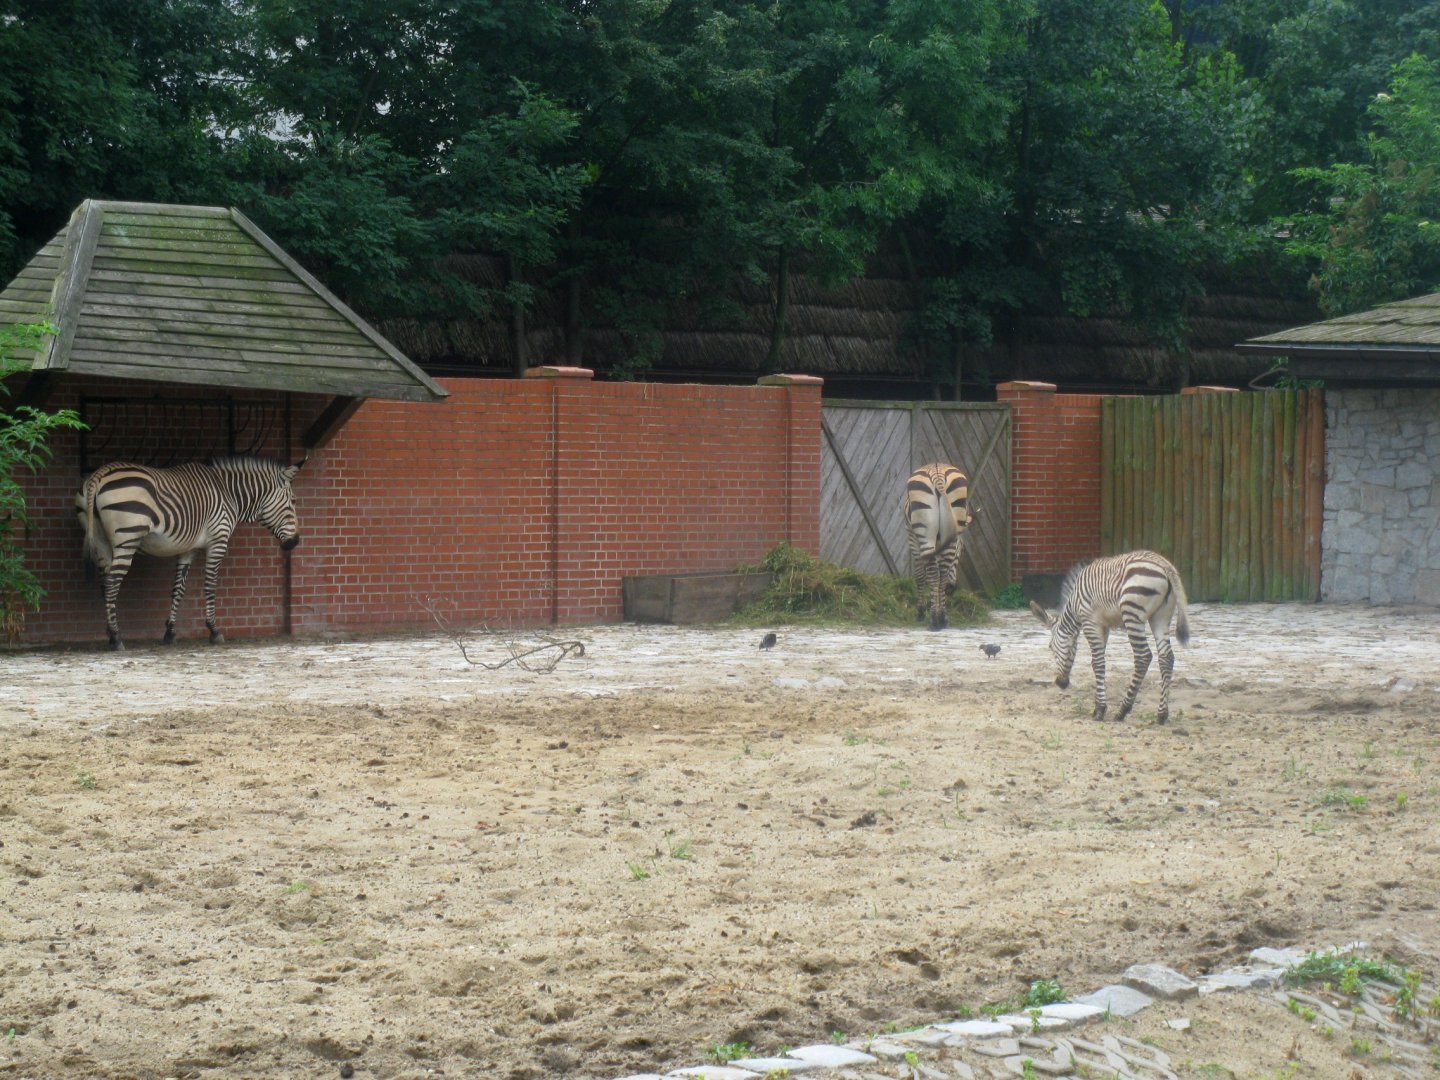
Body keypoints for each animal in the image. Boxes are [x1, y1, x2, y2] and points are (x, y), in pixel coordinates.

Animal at [75, 456, 302, 650]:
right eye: (292, 501)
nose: (295, 542)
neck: (228, 493)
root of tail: (99, 474)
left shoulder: (188, 549)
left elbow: (178, 589)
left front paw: (170, 633)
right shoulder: (218, 542)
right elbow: (210, 586)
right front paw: (214, 631)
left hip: (102, 542)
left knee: (105, 582)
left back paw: (110, 632)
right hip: (128, 537)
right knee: (112, 582)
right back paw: (116, 638)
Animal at [902, 462, 972, 631]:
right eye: (961, 552)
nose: (953, 590)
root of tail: (937, 472)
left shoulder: (912, 539)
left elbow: (920, 576)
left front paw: (920, 612)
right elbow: (941, 575)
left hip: (924, 534)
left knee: (933, 574)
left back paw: (934, 619)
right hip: (952, 531)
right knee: (943, 574)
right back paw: (942, 618)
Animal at [1028, 550, 1190, 724]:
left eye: (1050, 647)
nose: (1061, 683)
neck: (1075, 604)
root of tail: (1165, 565)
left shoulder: (1090, 623)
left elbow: (1098, 663)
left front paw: (1100, 710)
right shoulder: (1103, 627)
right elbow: (1095, 663)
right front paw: (1096, 707)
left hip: (1132, 612)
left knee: (1143, 657)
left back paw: (1122, 711)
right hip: (1161, 617)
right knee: (1166, 657)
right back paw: (1162, 714)